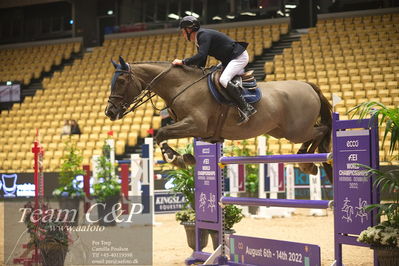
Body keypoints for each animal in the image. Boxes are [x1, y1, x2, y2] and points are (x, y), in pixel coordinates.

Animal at [104, 57, 332, 182]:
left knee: (322, 130)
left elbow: (160, 133)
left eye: (121, 81)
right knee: (318, 132)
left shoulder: (195, 123)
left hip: (295, 131)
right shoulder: (195, 129)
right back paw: (305, 158)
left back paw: (306, 162)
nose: (109, 112)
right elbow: (162, 135)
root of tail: (309, 85)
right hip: (281, 130)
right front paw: (185, 157)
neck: (180, 86)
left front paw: (176, 158)